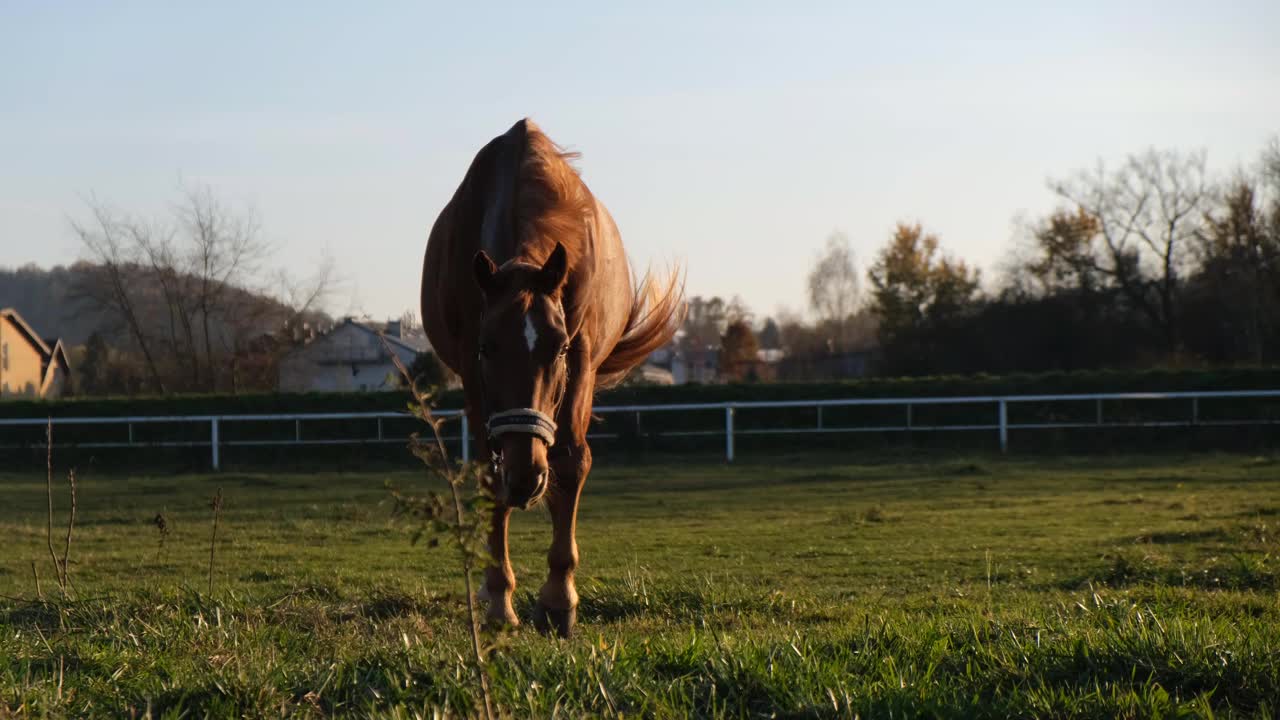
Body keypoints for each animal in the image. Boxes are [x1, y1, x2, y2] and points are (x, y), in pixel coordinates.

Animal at [422, 117, 686, 632]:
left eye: (558, 348)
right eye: (486, 348)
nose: (527, 476)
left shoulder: (581, 356)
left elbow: (570, 461)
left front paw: (558, 598)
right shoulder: (470, 372)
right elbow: (489, 475)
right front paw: (499, 598)